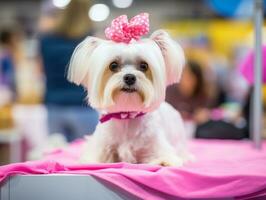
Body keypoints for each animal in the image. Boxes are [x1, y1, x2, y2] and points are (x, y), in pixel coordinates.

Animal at [66, 28, 191, 166]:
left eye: (144, 66)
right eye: (113, 65)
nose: (130, 77)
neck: (127, 115)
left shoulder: (157, 146)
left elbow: (163, 158)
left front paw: (162, 162)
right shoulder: (101, 148)